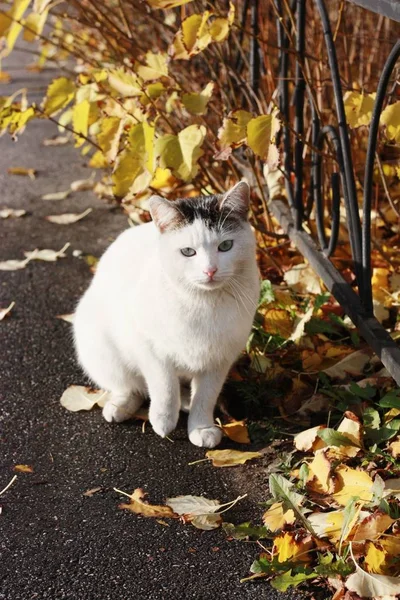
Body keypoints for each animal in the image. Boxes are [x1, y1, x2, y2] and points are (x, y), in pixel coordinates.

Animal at [73, 180, 260, 448]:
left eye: (225, 246)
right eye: (188, 252)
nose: (210, 270)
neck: (203, 302)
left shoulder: (219, 359)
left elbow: (206, 396)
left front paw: (201, 427)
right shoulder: (150, 349)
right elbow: (164, 385)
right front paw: (163, 420)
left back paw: (186, 402)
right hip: (100, 350)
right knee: (131, 386)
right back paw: (121, 406)